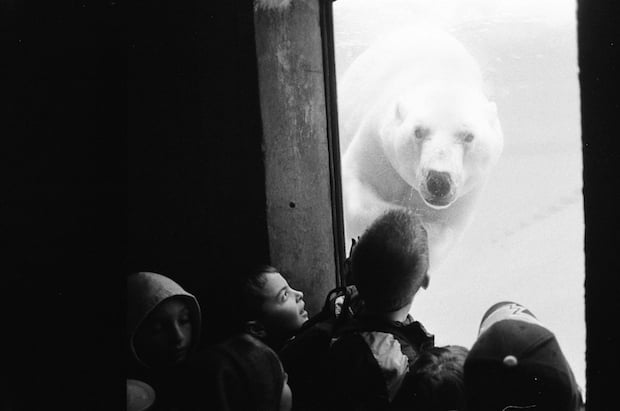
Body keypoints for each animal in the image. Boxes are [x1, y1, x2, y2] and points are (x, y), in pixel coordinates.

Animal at [340, 27, 504, 276]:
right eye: (418, 131)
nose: (438, 180)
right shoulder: (376, 145)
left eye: (468, 136)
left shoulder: (467, 196)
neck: (441, 73)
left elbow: (442, 233)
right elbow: (358, 188)